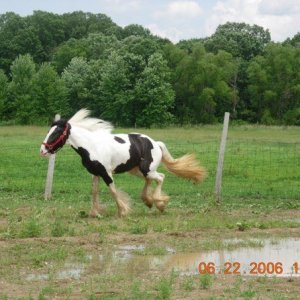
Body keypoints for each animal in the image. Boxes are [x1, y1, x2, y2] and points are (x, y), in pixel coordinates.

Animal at [40, 109, 206, 217]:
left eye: (56, 133)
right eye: (49, 131)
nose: (42, 150)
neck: (92, 146)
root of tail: (155, 143)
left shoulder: (106, 173)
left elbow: (113, 191)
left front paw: (123, 211)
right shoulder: (96, 173)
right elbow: (94, 191)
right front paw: (94, 213)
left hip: (147, 169)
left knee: (160, 177)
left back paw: (159, 203)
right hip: (137, 170)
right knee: (150, 180)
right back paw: (148, 201)